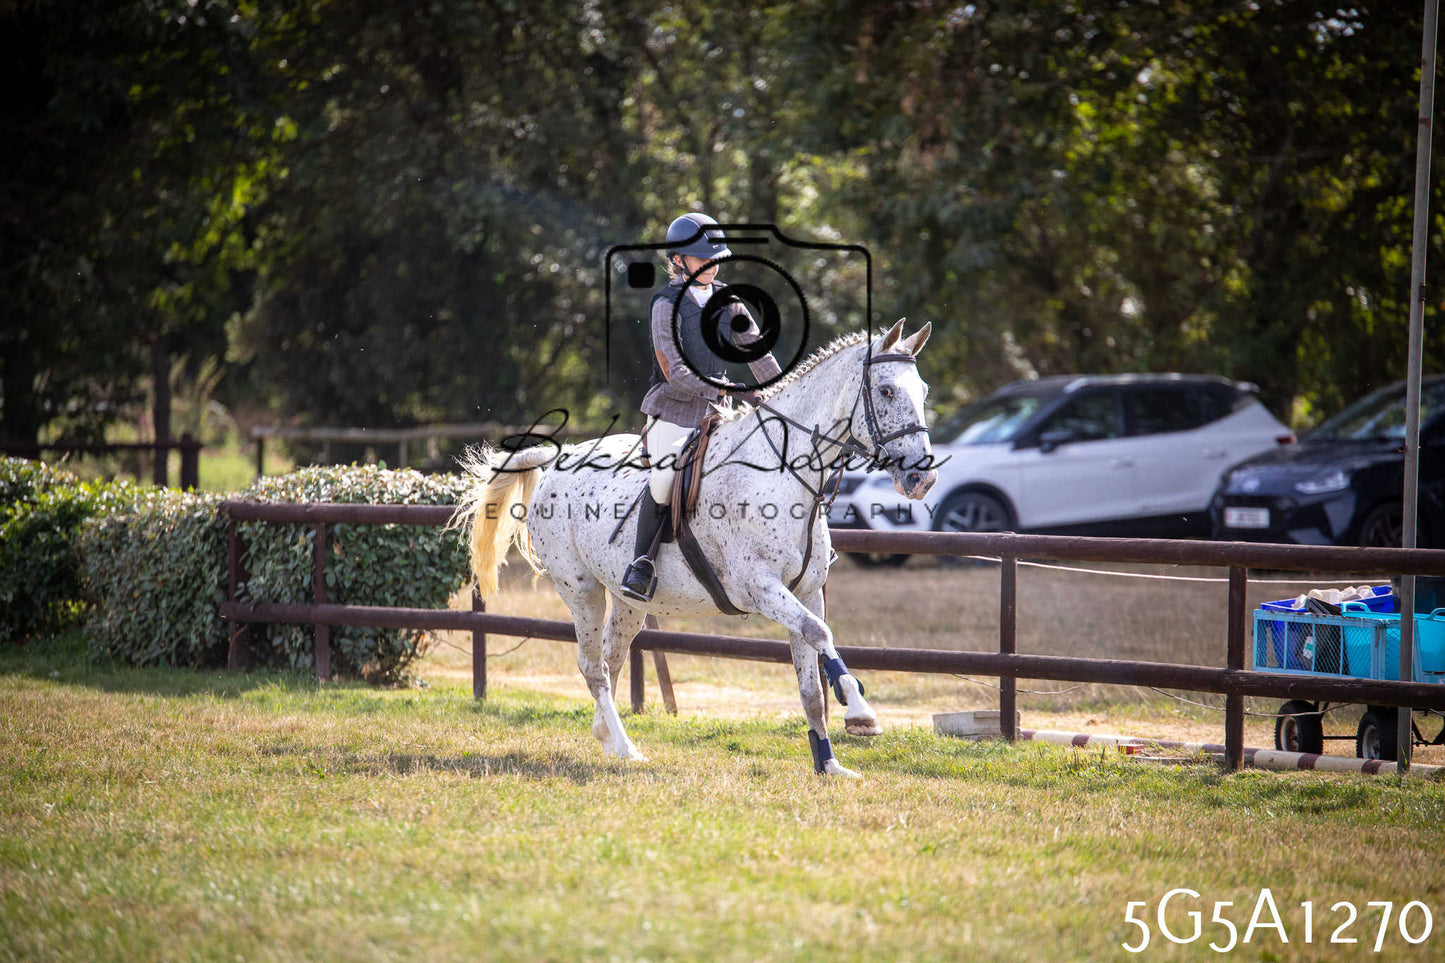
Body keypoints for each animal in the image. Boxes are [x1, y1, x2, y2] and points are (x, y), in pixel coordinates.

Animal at [453, 319, 937, 777]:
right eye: (886, 390)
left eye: (924, 391)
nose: (922, 478)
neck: (784, 473)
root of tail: (559, 458)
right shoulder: (760, 587)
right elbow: (820, 634)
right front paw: (860, 713)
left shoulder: (806, 591)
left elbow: (810, 685)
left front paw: (829, 765)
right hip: (581, 590)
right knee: (592, 666)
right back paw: (626, 749)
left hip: (628, 603)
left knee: (610, 659)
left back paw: (607, 736)